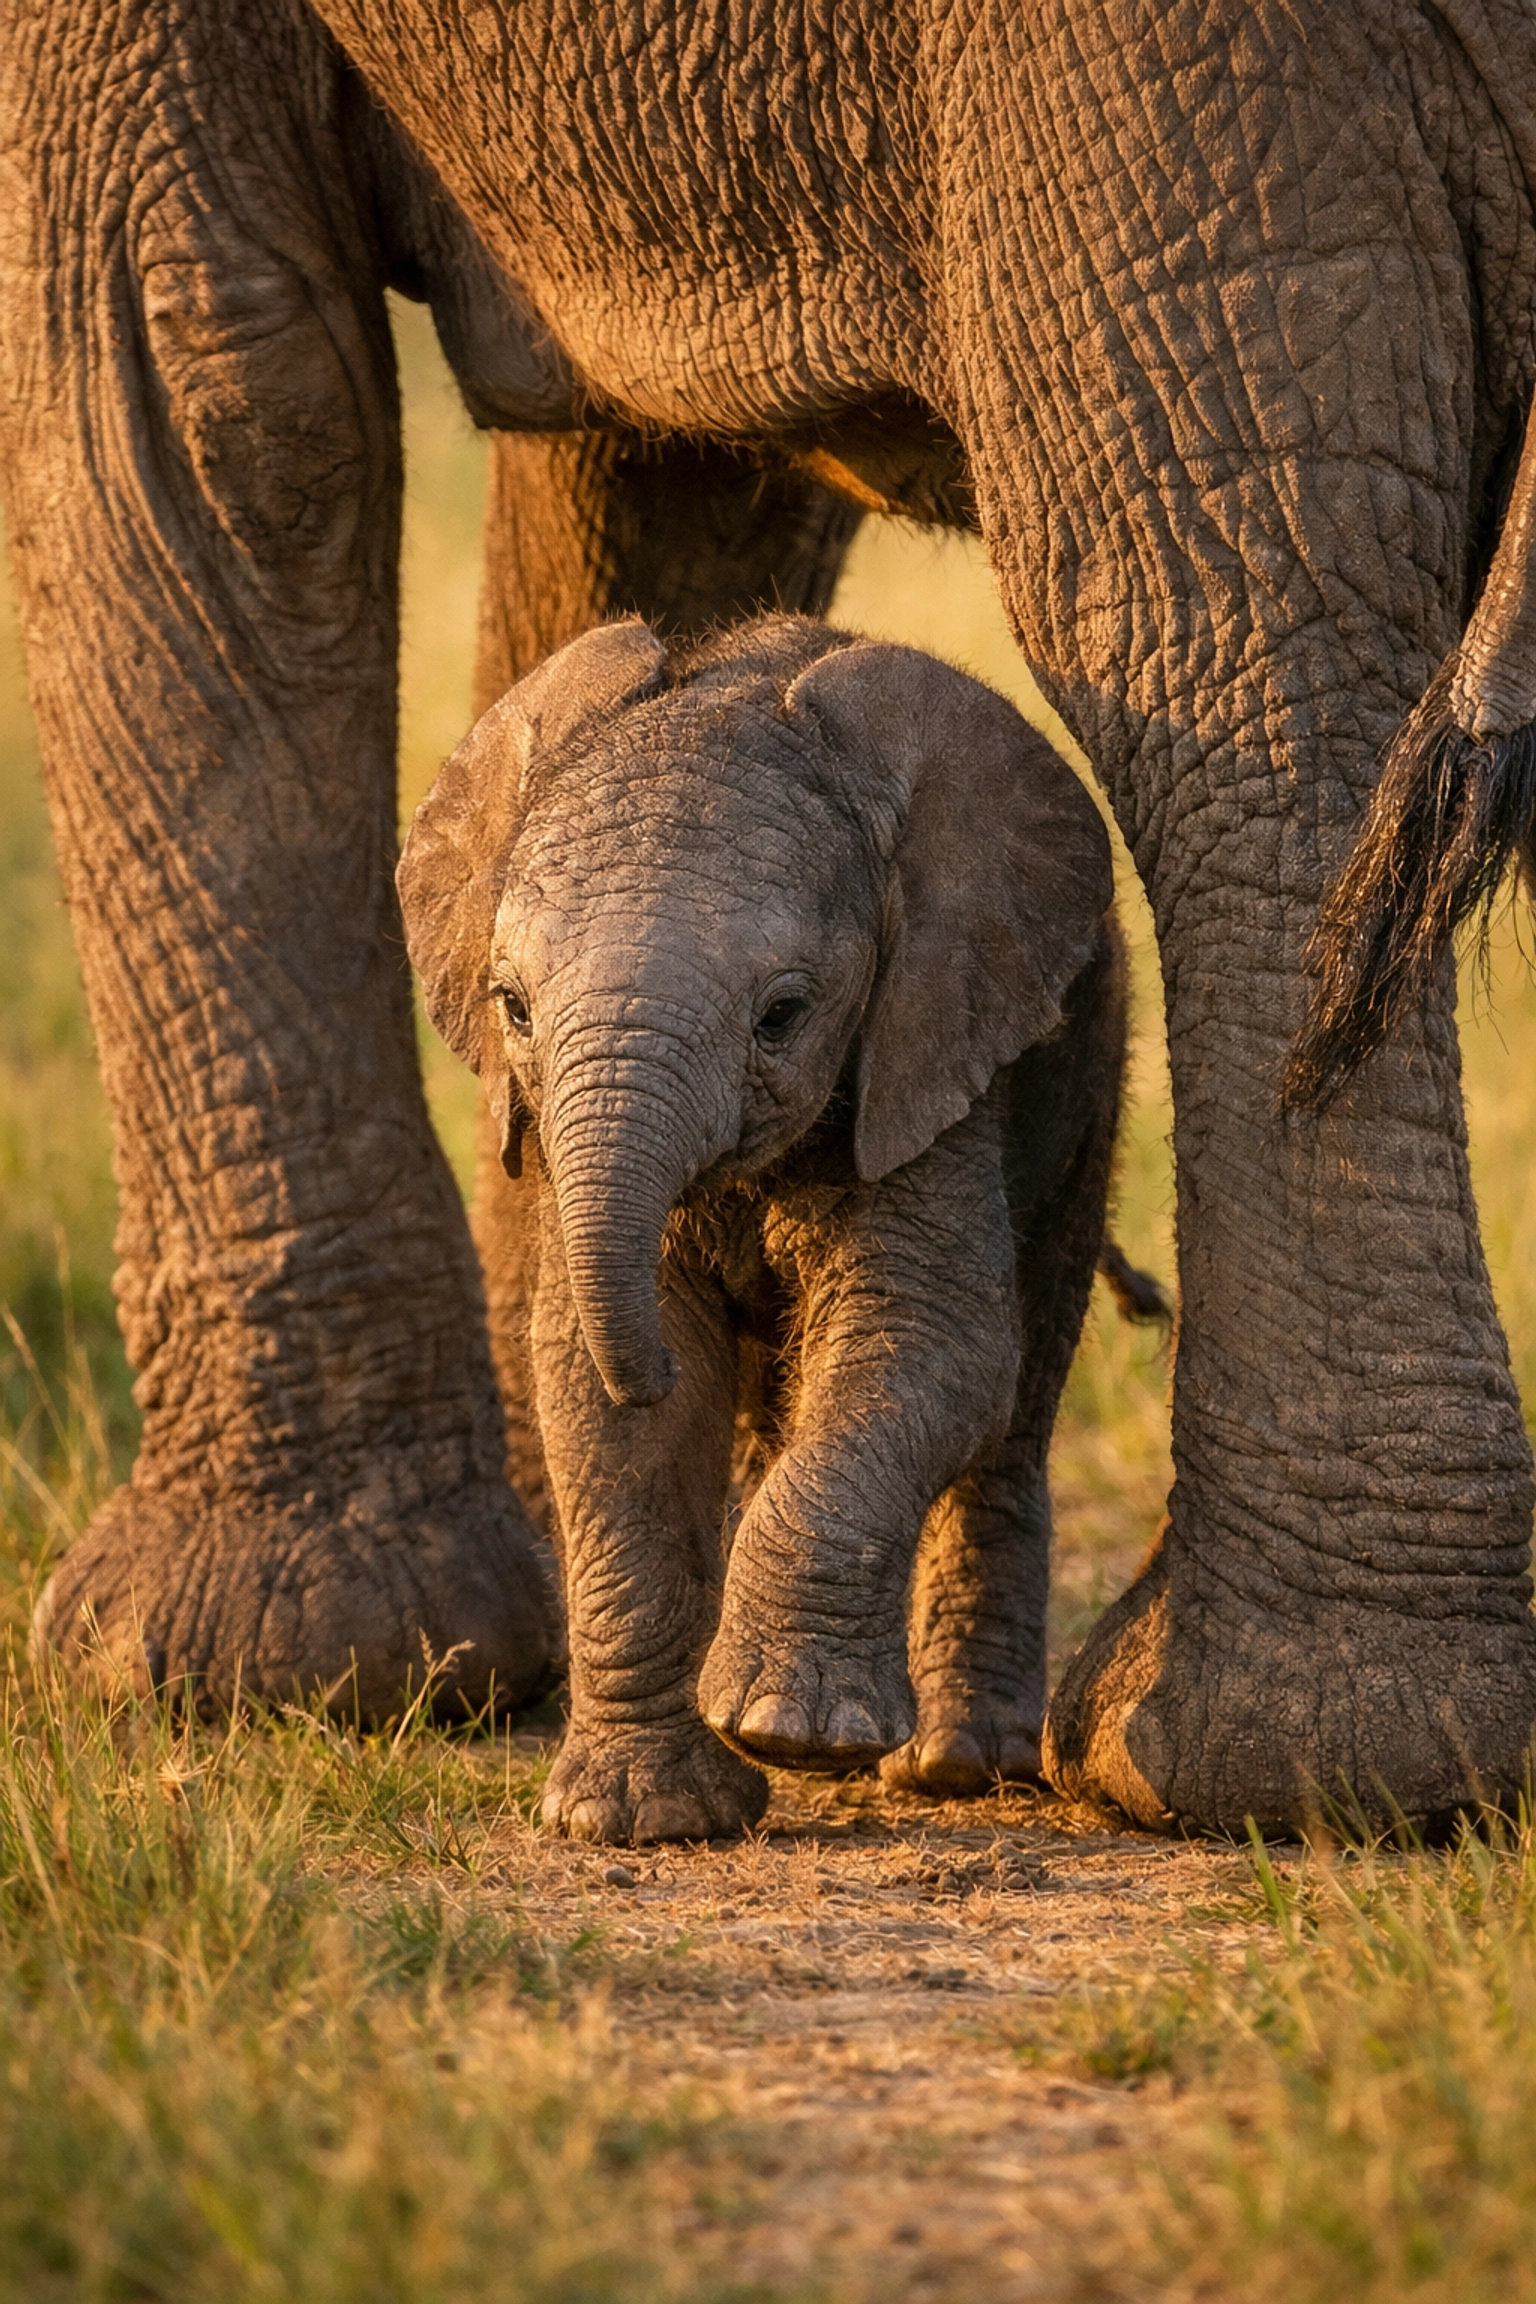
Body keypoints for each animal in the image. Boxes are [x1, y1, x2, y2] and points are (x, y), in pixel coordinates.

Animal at [396, 612, 1122, 1839]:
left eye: (784, 1015)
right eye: (513, 1010)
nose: (642, 1364)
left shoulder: (929, 1057)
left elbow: (931, 1346)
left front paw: (794, 1731)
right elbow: (598, 1398)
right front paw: (640, 1819)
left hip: (1087, 1078)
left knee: (1019, 1394)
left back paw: (953, 1767)